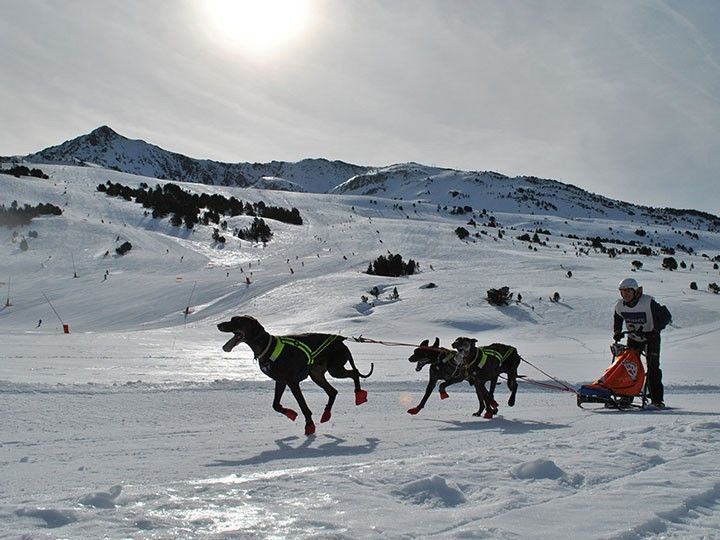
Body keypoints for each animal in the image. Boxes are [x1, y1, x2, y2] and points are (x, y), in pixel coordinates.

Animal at [217, 316, 374, 434]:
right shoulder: (281, 381)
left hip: (335, 369)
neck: (267, 346)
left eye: (236, 320)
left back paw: (359, 394)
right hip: (316, 374)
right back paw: (326, 413)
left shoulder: (292, 382)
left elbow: (303, 405)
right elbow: (275, 405)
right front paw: (290, 413)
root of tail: (342, 341)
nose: (218, 324)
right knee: (333, 391)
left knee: (354, 373)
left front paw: (309, 425)